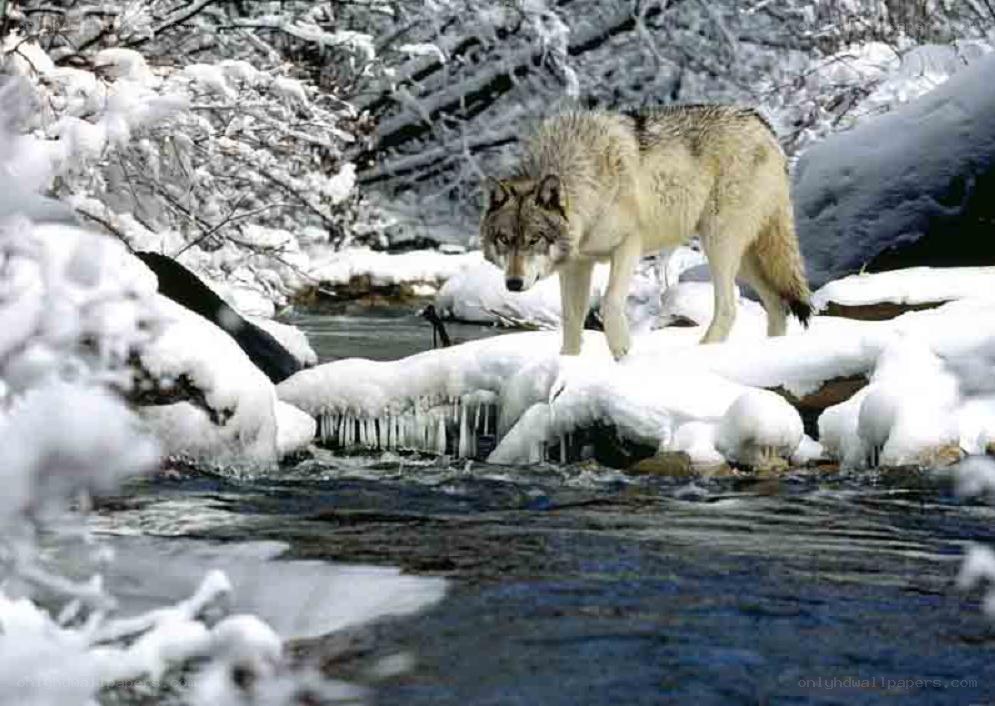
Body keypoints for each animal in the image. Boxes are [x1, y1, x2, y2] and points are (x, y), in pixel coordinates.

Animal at [479, 105, 811, 360]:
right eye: (504, 240)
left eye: (534, 239)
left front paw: (622, 352)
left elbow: (611, 301)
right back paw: (772, 350)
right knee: (777, 305)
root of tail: (762, 123)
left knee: (729, 307)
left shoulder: (629, 246)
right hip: (745, 259)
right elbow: (571, 321)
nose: (513, 283)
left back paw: (701, 352)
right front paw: (567, 363)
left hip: (719, 244)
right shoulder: (576, 265)